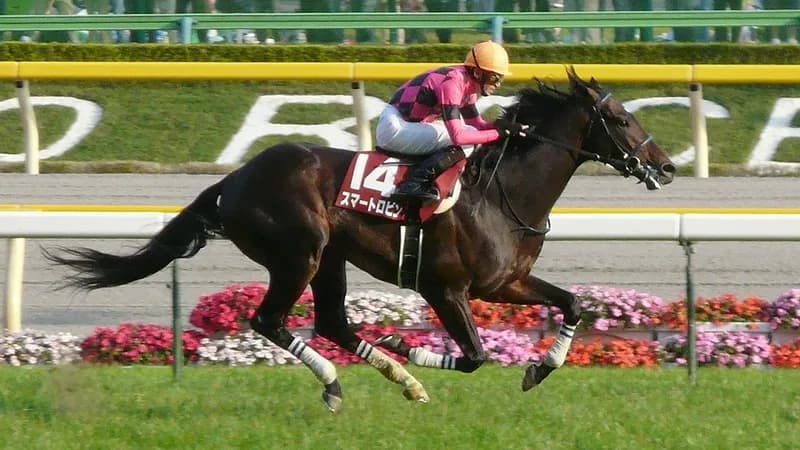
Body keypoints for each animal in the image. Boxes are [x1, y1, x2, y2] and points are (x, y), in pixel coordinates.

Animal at [45, 68, 675, 413]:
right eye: (622, 119)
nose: (666, 167)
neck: (501, 192)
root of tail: (236, 178)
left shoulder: (506, 282)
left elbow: (573, 303)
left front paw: (538, 369)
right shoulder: (446, 288)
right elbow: (474, 357)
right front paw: (410, 345)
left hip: (330, 259)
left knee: (331, 322)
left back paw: (404, 381)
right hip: (298, 253)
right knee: (271, 320)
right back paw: (341, 383)